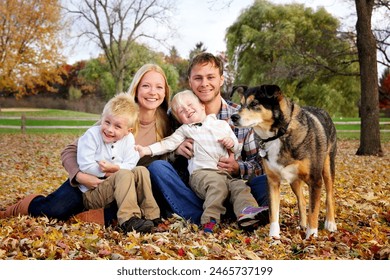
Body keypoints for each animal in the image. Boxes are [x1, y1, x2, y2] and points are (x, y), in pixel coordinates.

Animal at [230, 85, 336, 238]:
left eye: (254, 104)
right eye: (241, 104)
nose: (233, 117)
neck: (279, 134)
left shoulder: (315, 180)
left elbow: (314, 211)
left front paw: (311, 236)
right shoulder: (272, 181)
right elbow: (273, 212)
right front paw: (273, 236)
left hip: (327, 168)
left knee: (329, 195)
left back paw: (330, 223)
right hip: (293, 179)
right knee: (302, 200)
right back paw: (302, 224)